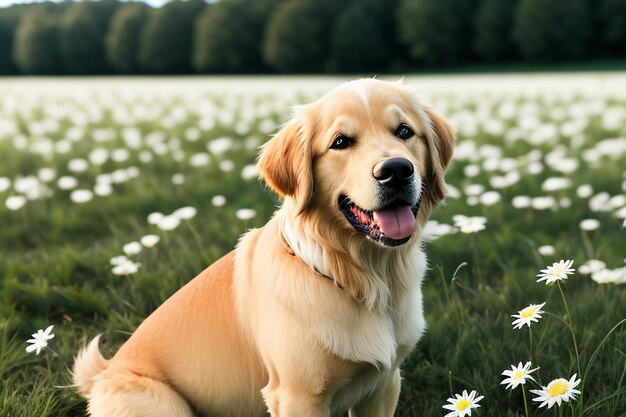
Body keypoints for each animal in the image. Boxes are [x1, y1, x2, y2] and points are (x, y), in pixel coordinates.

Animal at [73, 79, 454, 416]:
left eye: (404, 131)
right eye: (341, 142)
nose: (396, 170)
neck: (363, 278)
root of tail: (102, 374)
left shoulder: (384, 384)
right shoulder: (297, 396)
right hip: (162, 402)